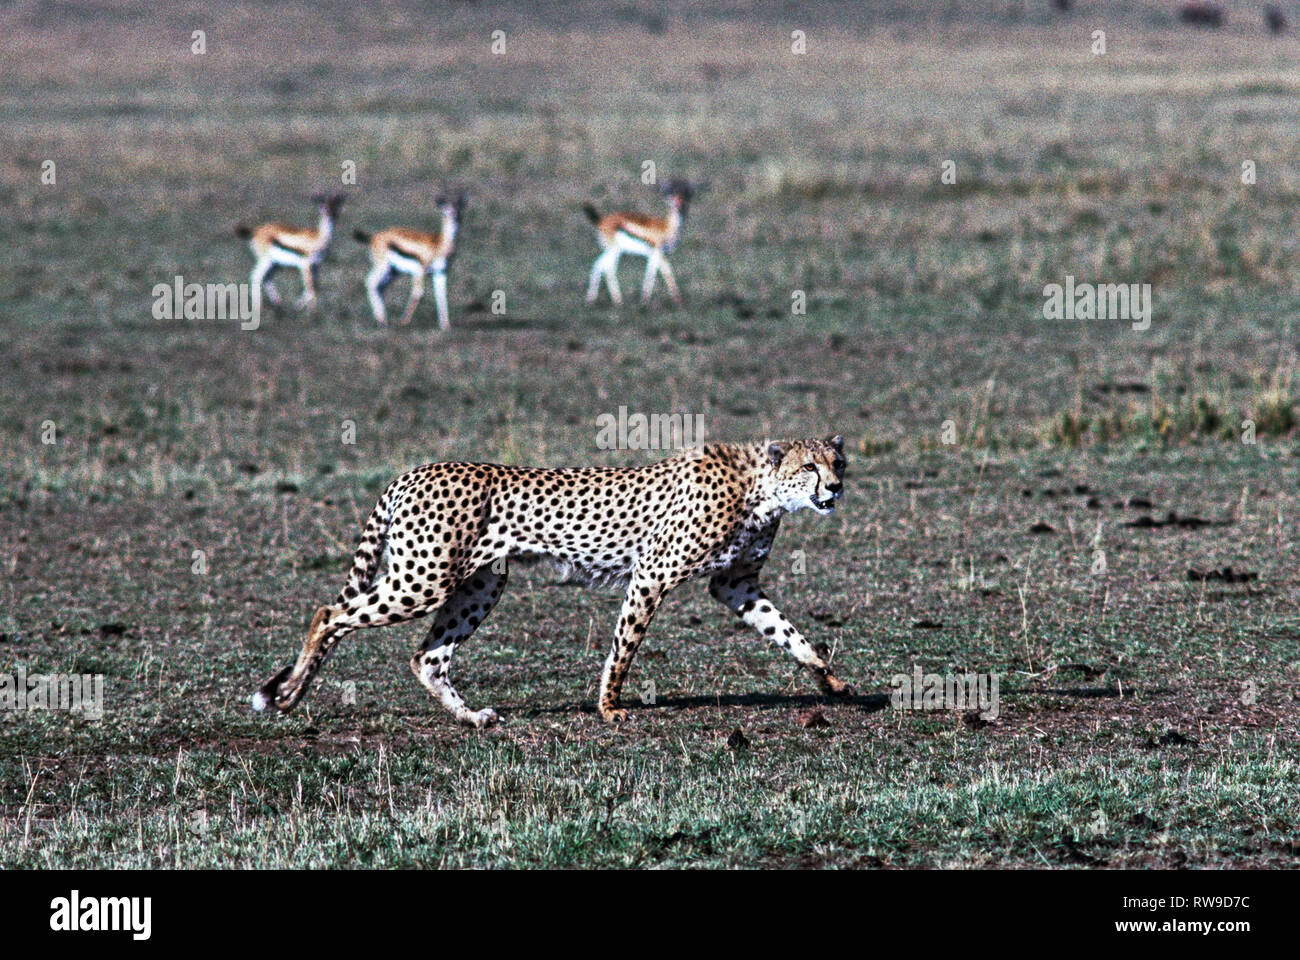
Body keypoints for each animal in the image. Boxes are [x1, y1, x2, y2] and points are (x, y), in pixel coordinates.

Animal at [252, 435, 851, 727]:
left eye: (838, 462)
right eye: (810, 467)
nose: (837, 488)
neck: (761, 489)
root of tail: (412, 471)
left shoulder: (735, 585)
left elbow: (791, 635)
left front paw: (833, 683)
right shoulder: (652, 574)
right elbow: (624, 649)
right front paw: (609, 707)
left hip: (478, 585)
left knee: (427, 657)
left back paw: (472, 718)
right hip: (423, 578)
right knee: (328, 614)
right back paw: (288, 695)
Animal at [354, 193, 467, 329]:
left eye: (460, 210)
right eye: (446, 211)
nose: (456, 219)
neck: (439, 244)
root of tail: (374, 236)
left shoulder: (441, 272)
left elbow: (441, 296)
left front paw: (445, 327)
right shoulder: (420, 272)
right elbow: (419, 293)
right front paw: (403, 322)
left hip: (393, 272)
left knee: (379, 287)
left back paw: (383, 321)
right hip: (383, 267)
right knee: (370, 282)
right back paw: (382, 322)